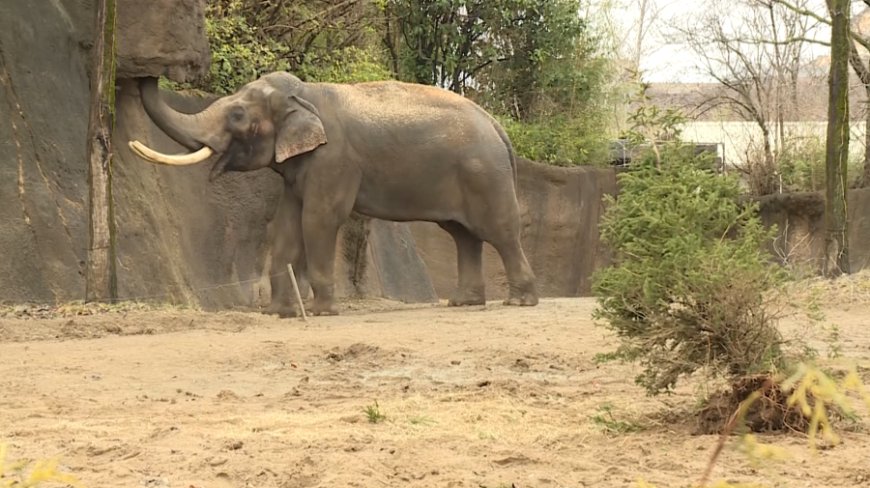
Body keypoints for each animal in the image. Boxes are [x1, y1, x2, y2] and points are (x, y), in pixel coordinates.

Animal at [129, 72, 540, 316]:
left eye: (237, 117)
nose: (148, 73)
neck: (305, 94)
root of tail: (497, 127)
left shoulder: (334, 158)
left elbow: (319, 219)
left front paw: (321, 310)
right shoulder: (300, 168)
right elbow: (286, 225)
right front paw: (280, 313)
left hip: (485, 174)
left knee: (498, 231)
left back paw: (519, 301)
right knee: (463, 234)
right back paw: (462, 302)